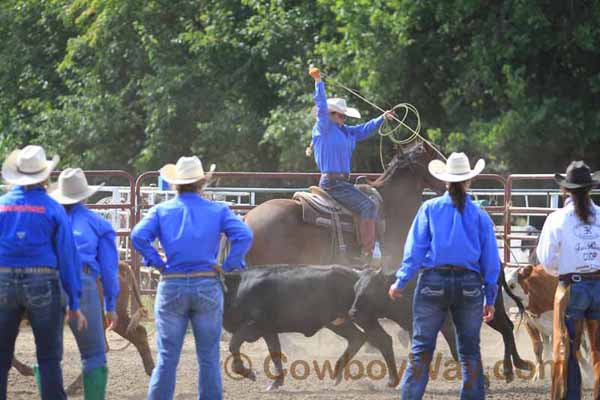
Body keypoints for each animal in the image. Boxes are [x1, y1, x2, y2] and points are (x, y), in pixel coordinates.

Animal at [350, 264, 532, 382]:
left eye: (370, 292)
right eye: (356, 289)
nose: (353, 313)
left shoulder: (447, 325)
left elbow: (455, 351)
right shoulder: (412, 327)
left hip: (492, 310)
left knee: (506, 329)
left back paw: (509, 369)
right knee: (508, 328)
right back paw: (518, 364)